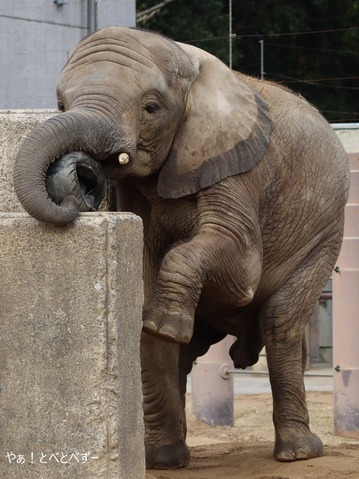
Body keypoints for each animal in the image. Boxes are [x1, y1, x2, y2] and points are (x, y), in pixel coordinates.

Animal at [14, 25, 352, 468]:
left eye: (151, 107)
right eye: (60, 104)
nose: (86, 175)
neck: (189, 65)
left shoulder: (238, 168)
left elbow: (242, 268)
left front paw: (165, 324)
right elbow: (143, 300)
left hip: (326, 233)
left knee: (280, 320)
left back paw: (298, 452)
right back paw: (164, 457)